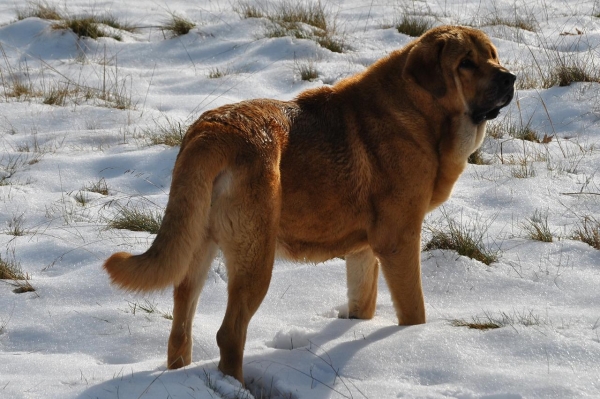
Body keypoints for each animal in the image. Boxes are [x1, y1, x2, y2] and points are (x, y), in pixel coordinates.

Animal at [103, 25, 516, 384]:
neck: (418, 113)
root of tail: (212, 132)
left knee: (180, 330)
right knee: (229, 335)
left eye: (492, 56)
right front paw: (412, 340)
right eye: (466, 63)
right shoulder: (398, 242)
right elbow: (414, 311)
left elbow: (361, 305)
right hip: (256, 260)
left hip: (196, 249)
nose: (510, 78)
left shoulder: (363, 252)